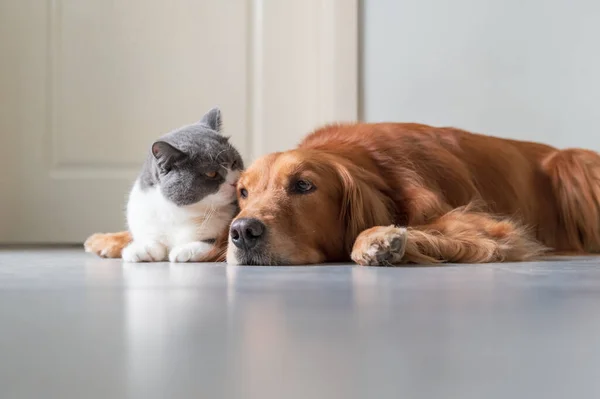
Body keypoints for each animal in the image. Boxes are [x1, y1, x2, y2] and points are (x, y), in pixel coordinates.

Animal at [122, 108, 244, 262]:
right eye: (211, 173)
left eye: (234, 163)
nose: (235, 182)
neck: (179, 213)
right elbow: (151, 241)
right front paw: (139, 250)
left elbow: (213, 243)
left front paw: (181, 251)